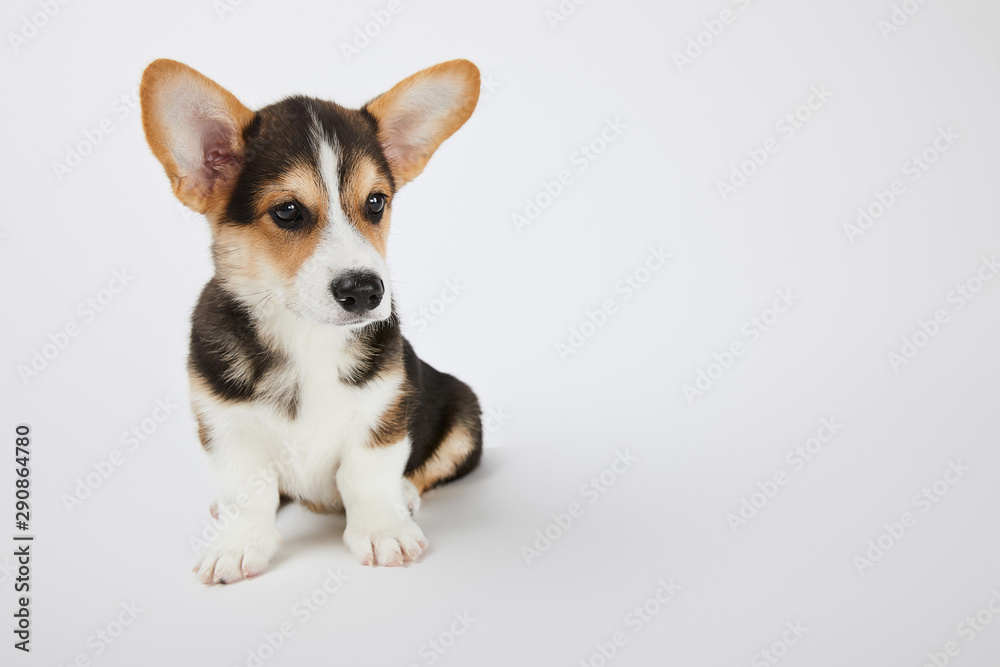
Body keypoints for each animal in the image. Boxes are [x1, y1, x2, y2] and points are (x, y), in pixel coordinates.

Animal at [141, 61, 484, 584]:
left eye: (376, 202)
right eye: (287, 211)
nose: (366, 291)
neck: (306, 334)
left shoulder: (384, 413)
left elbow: (367, 476)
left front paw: (383, 531)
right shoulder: (224, 425)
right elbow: (246, 491)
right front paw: (237, 544)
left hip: (464, 413)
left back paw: (404, 497)